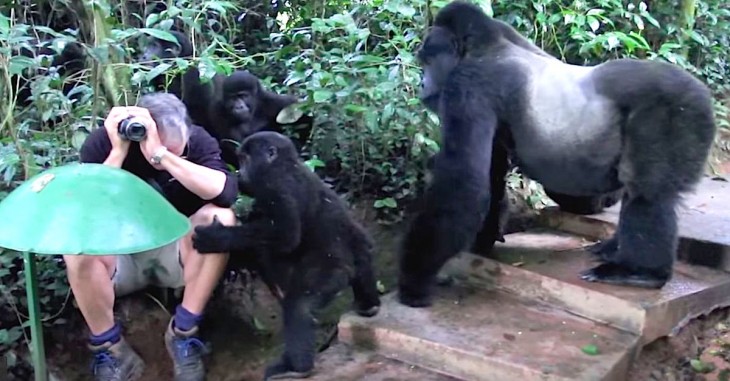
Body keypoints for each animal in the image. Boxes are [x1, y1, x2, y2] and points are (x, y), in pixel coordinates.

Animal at [188, 130, 382, 378]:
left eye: (245, 159)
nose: (239, 174)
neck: (285, 164)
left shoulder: (276, 186)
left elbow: (285, 236)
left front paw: (217, 238)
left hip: (332, 271)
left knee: (299, 307)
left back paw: (297, 367)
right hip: (357, 249)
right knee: (362, 250)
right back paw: (369, 303)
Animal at [396, 0, 712, 306]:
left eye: (428, 62)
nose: (422, 84)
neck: (481, 47)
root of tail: (704, 94)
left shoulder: (467, 87)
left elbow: (463, 186)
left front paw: (414, 280)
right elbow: (489, 178)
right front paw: (481, 242)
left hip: (679, 110)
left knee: (647, 193)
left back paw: (641, 273)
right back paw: (616, 250)